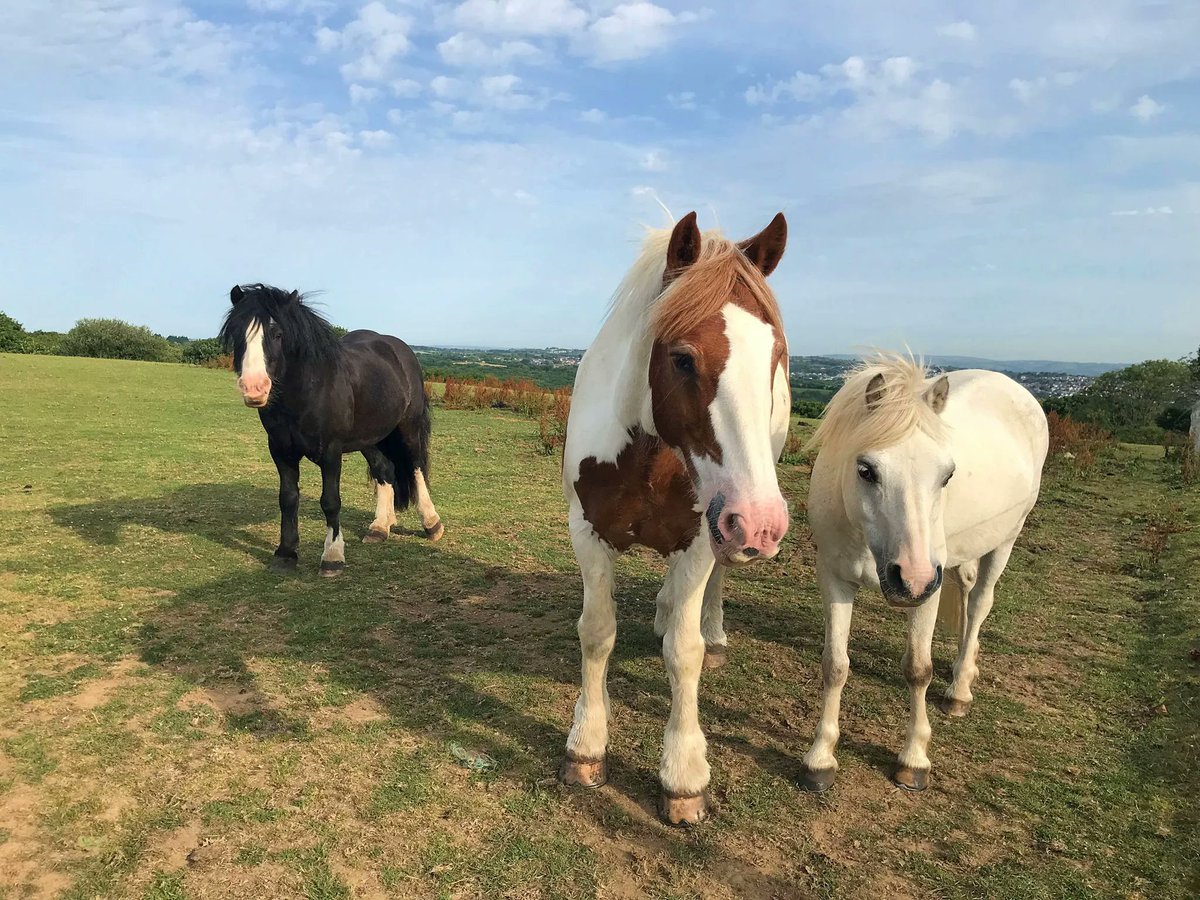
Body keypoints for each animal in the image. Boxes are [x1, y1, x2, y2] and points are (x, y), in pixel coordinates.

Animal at [219, 284, 443, 576]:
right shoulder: (281, 451)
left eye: (277, 334)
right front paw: (285, 554)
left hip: (408, 428)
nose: (254, 388)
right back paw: (380, 527)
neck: (308, 390)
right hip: (370, 438)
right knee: (385, 470)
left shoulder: (331, 452)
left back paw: (432, 524)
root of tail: (399, 350)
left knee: (416, 469)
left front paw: (332, 557)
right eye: (236, 333)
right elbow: (288, 498)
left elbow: (330, 501)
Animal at [560, 211, 792, 825]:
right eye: (683, 358)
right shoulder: (587, 532)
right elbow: (597, 632)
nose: (762, 522)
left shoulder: (701, 539)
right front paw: (586, 746)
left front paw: (684, 776)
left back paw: (710, 631)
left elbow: (684, 655)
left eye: (776, 356)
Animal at [798, 354, 1048, 793]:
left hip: (1005, 539)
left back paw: (960, 689)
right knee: (967, 591)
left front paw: (914, 760)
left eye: (947, 475)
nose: (910, 579)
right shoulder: (835, 579)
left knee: (980, 603)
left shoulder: (927, 591)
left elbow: (918, 670)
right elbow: (835, 666)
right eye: (866, 470)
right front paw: (820, 759)